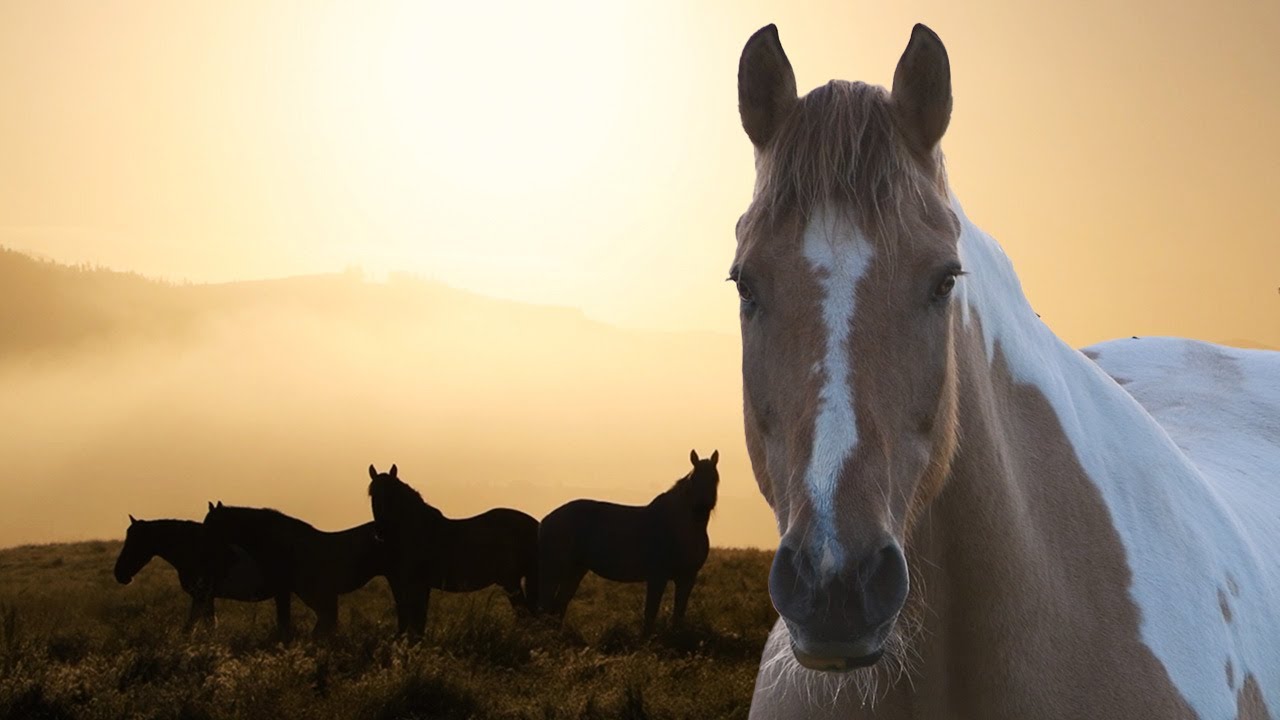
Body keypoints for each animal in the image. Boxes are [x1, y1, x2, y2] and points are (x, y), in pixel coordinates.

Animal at [114, 515, 271, 630]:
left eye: (136, 542)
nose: (119, 574)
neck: (198, 549)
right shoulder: (205, 597)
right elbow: (200, 625)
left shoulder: (202, 595)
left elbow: (198, 626)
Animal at [366, 464, 540, 637]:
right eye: (372, 495)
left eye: (392, 494)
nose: (380, 531)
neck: (421, 530)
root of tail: (536, 524)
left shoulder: (418, 584)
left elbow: (417, 621)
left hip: (511, 581)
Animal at [539, 449, 720, 635]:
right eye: (693, 479)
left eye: (715, 478)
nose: (701, 508)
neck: (681, 528)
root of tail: (546, 519)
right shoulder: (657, 577)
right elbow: (650, 612)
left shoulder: (687, 578)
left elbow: (678, 614)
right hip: (555, 569)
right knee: (546, 603)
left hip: (576, 569)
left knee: (559, 604)